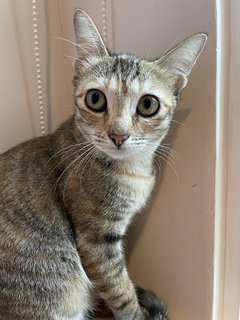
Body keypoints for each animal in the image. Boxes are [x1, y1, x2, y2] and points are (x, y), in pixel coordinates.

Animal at [0, 8, 206, 320]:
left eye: (148, 104)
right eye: (95, 98)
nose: (118, 135)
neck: (133, 170)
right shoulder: (97, 242)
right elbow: (121, 291)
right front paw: (137, 313)